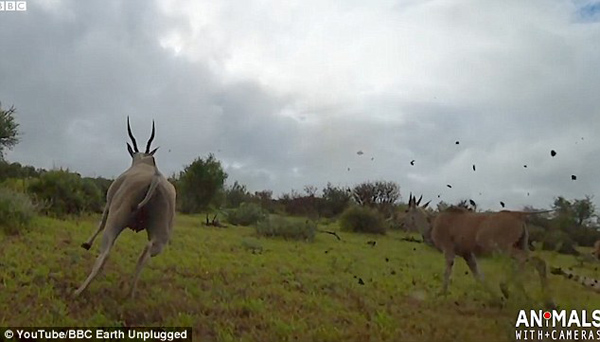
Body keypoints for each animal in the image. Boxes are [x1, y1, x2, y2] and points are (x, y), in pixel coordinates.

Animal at [73, 117, 176, 300]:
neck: (145, 163)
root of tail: (155, 178)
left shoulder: (108, 205)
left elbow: (100, 223)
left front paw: (86, 244)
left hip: (116, 221)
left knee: (106, 253)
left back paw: (78, 291)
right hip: (161, 238)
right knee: (146, 254)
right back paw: (130, 293)